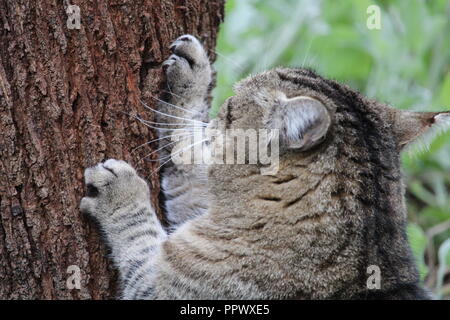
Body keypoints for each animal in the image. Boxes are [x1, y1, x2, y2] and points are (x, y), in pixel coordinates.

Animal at [79, 34, 448, 298]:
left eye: (230, 103)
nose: (222, 101)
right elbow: (187, 155)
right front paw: (192, 78)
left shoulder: (160, 286)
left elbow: (137, 236)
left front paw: (120, 191)